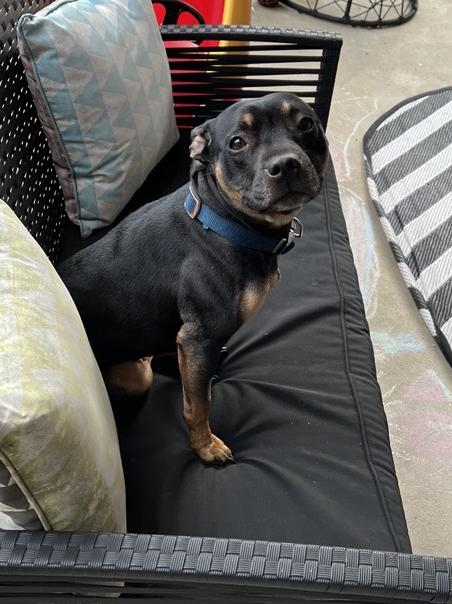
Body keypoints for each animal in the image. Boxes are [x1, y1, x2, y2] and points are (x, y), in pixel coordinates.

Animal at [59, 93, 328, 462]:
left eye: (305, 124)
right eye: (237, 143)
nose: (286, 164)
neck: (223, 222)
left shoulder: (191, 341)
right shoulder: (199, 337)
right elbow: (197, 406)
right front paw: (205, 447)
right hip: (134, 376)